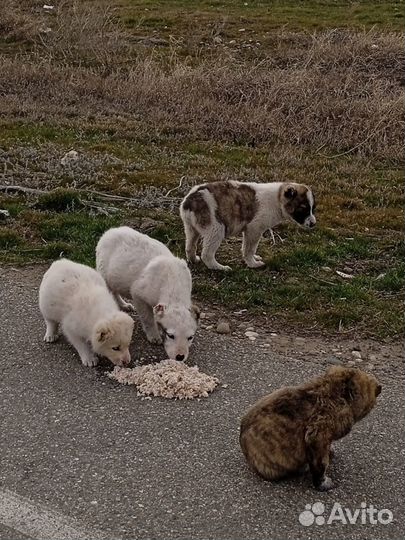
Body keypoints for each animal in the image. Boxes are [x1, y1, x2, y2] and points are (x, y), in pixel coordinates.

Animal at [96, 226, 200, 360]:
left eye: (190, 337)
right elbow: (147, 317)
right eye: (170, 335)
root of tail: (109, 231)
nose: (180, 357)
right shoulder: (139, 293)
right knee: (111, 290)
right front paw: (154, 336)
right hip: (103, 270)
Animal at [180, 181, 316, 272]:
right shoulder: (254, 229)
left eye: (312, 208)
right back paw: (220, 268)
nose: (313, 224)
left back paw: (193, 259)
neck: (277, 199)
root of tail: (189, 201)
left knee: (190, 246)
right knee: (207, 254)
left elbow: (249, 248)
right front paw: (252, 263)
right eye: (303, 209)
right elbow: (249, 248)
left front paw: (253, 258)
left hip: (191, 229)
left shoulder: (249, 230)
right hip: (216, 229)